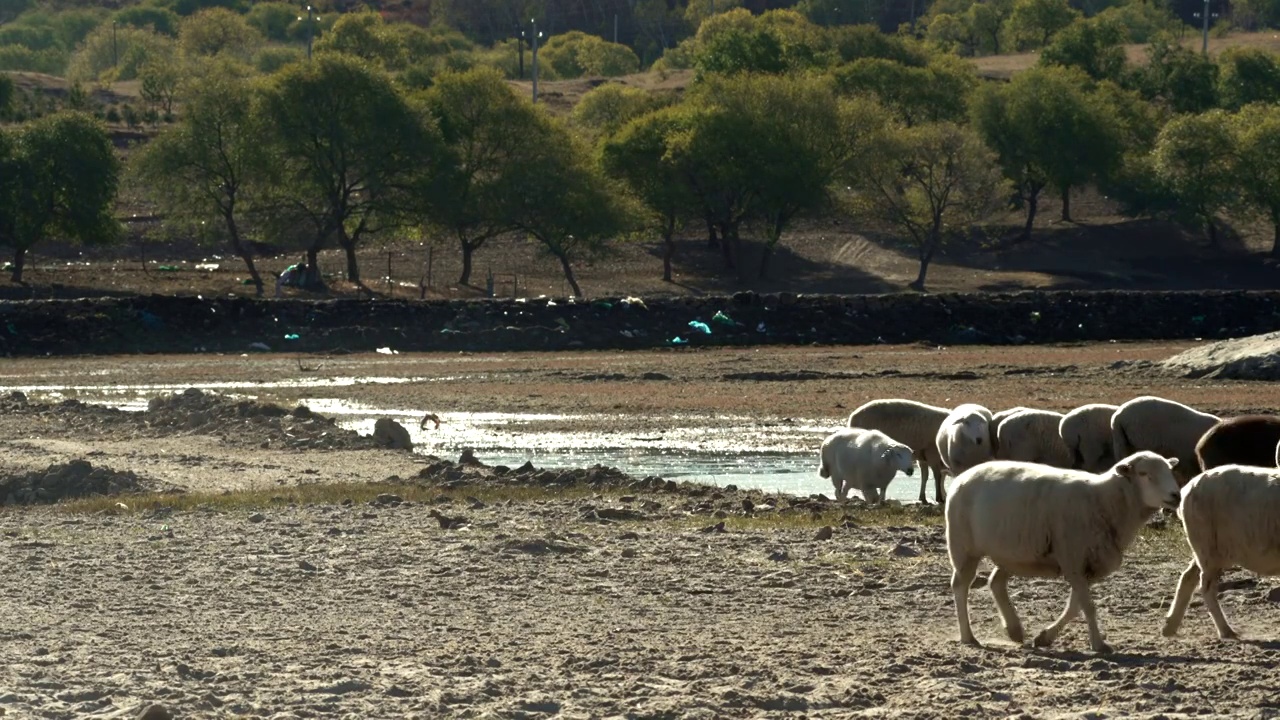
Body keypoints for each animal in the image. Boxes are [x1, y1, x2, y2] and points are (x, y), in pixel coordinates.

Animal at [947, 450, 1182, 653]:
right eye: (1144, 474)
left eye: (1170, 470)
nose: (1176, 496)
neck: (1104, 500)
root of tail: (962, 476)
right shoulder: (1073, 560)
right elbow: (1088, 607)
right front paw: (1098, 644)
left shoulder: (1086, 566)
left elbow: (1074, 608)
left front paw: (1045, 637)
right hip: (963, 546)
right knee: (960, 586)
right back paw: (968, 636)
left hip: (1011, 552)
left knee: (995, 581)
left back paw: (1014, 630)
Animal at [1167, 466, 1280, 638]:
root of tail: (1188, 487)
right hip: (1207, 545)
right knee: (1206, 587)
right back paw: (1225, 630)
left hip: (1204, 548)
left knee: (1188, 576)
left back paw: (1169, 626)